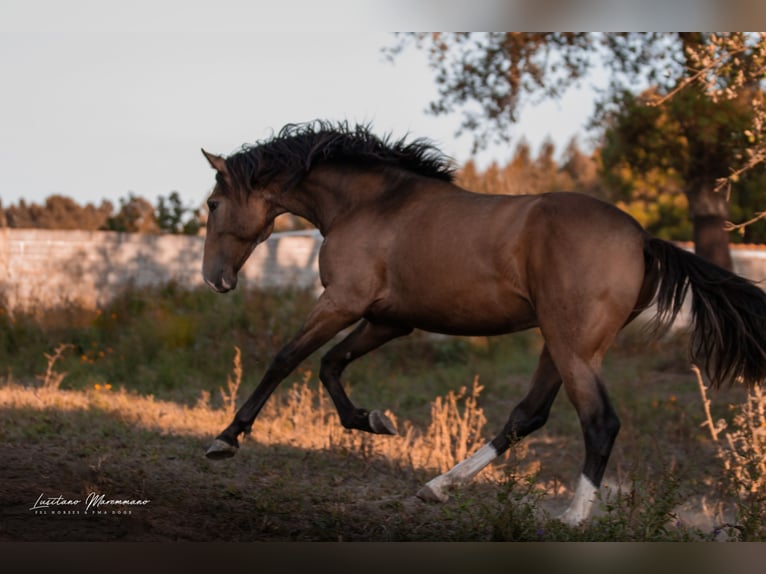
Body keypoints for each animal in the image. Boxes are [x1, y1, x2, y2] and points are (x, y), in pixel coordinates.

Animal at [200, 120, 766, 528]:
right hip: (558, 344)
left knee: (599, 421)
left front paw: (225, 441)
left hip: (572, 347)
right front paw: (373, 420)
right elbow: (330, 365)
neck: (369, 204)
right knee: (527, 415)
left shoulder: (343, 302)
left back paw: (572, 517)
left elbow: (287, 359)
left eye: (212, 203)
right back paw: (438, 487)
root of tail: (643, 239)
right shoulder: (388, 320)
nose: (214, 278)